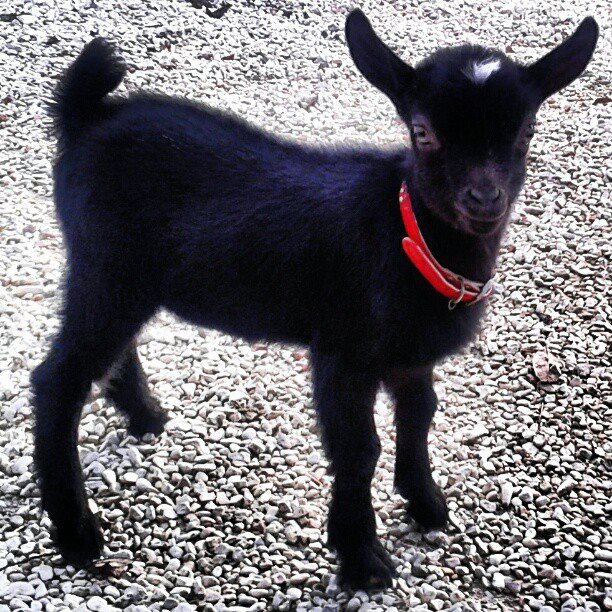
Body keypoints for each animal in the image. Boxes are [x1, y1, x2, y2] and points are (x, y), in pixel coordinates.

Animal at [32, 9, 598, 590]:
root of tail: (86, 117)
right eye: (422, 133)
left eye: (527, 131)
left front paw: (426, 505)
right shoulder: (342, 351)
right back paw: (76, 532)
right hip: (106, 266)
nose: (484, 200)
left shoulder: (412, 357)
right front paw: (362, 558)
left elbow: (419, 415)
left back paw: (144, 415)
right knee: (58, 379)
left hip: (124, 281)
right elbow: (358, 449)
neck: (404, 234)